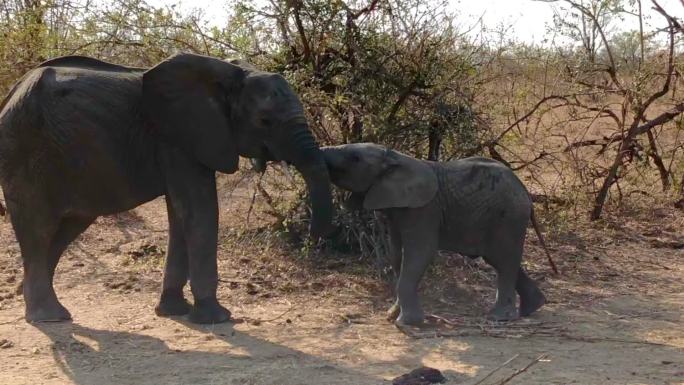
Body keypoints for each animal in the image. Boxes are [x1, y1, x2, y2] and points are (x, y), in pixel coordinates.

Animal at [0, 53, 334, 324]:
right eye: (265, 121)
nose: (311, 242)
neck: (228, 74)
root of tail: (12, 92)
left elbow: (180, 212)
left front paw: (173, 311)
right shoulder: (178, 138)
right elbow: (199, 210)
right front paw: (216, 318)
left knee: (67, 227)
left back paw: (31, 301)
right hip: (24, 149)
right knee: (38, 228)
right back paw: (49, 316)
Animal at [324, 143, 552, 324]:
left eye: (355, 158)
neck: (395, 157)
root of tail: (526, 193)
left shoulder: (424, 209)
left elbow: (419, 253)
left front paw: (407, 323)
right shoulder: (397, 209)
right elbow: (397, 256)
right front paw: (391, 316)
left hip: (508, 216)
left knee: (503, 260)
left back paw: (500, 317)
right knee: (500, 259)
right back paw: (532, 307)